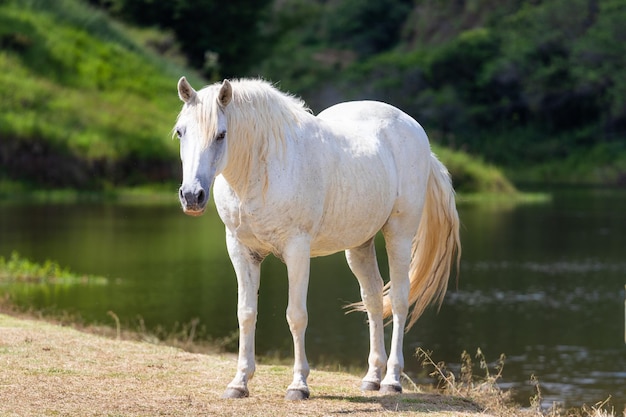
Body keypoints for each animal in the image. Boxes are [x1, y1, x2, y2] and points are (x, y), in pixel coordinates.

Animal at [173, 77, 456, 400]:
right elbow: (246, 314)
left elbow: (296, 315)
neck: (262, 169)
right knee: (373, 299)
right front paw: (239, 382)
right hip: (359, 245)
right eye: (180, 131)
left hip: (399, 234)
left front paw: (298, 385)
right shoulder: (241, 250)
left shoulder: (297, 250)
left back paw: (392, 380)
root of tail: (416, 131)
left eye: (221, 134)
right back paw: (372, 377)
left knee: (397, 300)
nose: (192, 196)